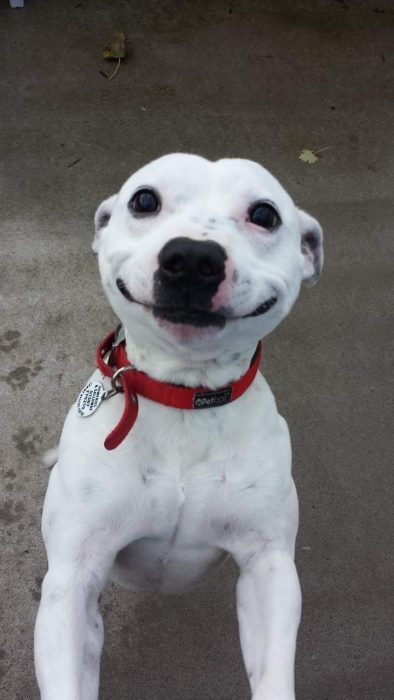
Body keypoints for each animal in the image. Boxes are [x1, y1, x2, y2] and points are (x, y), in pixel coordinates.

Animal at [33, 154, 324, 700]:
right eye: (144, 200)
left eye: (265, 214)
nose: (192, 256)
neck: (183, 395)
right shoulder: (72, 580)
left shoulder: (268, 565)